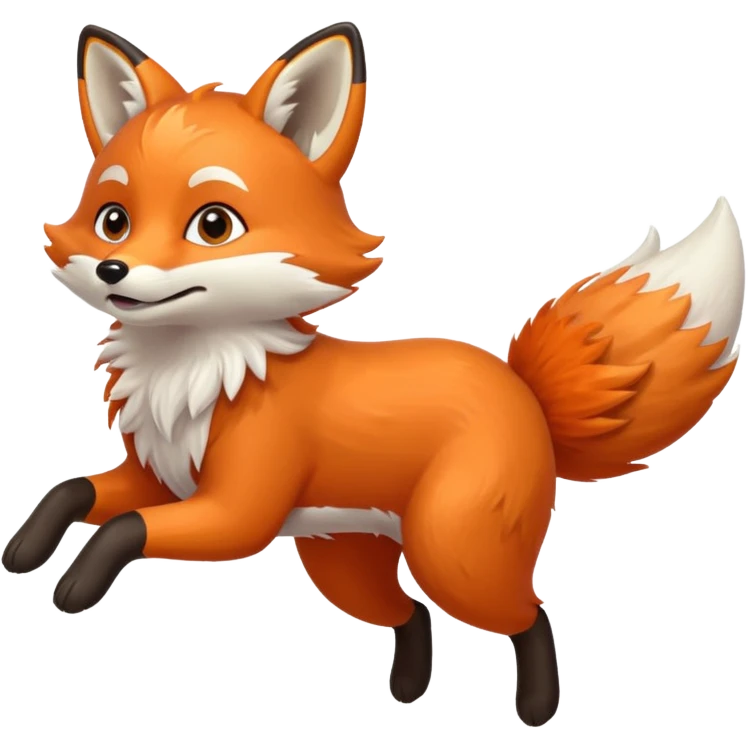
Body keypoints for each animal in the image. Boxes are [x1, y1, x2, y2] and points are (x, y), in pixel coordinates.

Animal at [4, 21, 745, 726]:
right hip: (345, 563)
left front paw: (77, 584)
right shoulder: (157, 477)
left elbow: (125, 529)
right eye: (113, 221)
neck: (198, 372)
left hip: (452, 553)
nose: (114, 270)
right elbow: (71, 491)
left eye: (213, 224)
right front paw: (25, 548)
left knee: (528, 615)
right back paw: (408, 688)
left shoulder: (238, 509)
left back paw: (536, 709)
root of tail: (522, 388)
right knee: (410, 614)